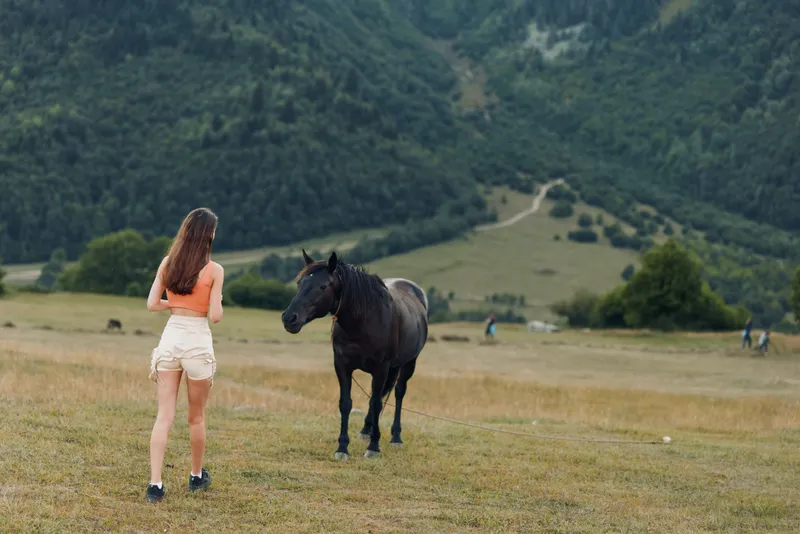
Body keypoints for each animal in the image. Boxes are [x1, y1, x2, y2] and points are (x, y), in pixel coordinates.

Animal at [281, 250, 429, 460]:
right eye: (299, 283)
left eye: (323, 286)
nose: (289, 318)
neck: (364, 320)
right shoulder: (342, 365)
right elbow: (346, 403)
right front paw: (342, 448)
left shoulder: (381, 368)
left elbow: (376, 403)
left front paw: (373, 447)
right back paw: (366, 430)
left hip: (408, 363)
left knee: (398, 392)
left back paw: (396, 437)